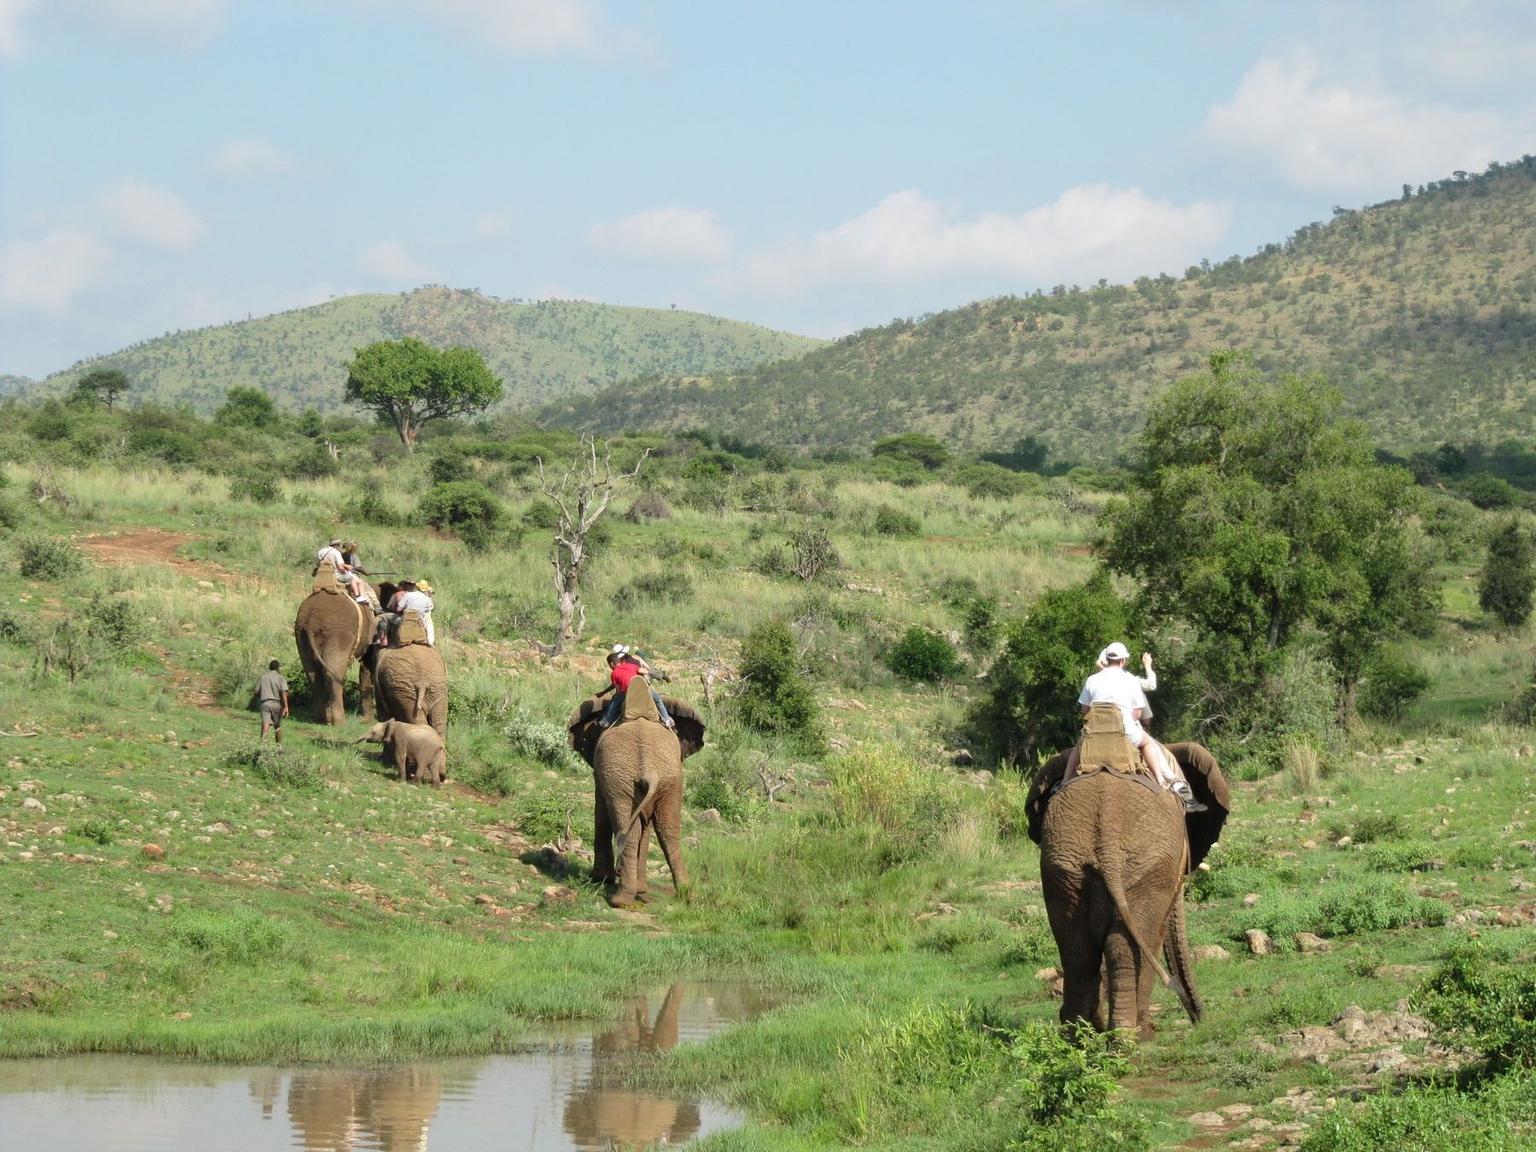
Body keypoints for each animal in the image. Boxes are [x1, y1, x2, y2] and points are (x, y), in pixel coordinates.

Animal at [568, 675, 703, 909]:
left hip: (621, 779)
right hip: (669, 779)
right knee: (668, 830)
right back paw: (688, 895)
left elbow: (601, 812)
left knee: (629, 829)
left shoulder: (602, 772)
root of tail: (648, 766)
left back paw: (620, 900)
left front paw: (601, 879)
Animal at [1032, 743, 1234, 1044]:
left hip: (1063, 868)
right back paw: (1130, 1038)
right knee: (1127, 944)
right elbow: (1154, 936)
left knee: (1078, 952)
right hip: (1145, 868)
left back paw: (1080, 1039)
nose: (1201, 1021)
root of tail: (1106, 841)